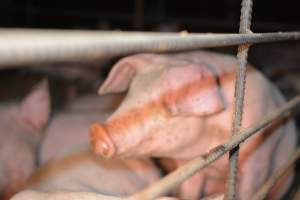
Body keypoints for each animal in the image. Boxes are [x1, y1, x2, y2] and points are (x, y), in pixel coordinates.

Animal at [89, 50, 298, 199]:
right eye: (130, 93)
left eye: (169, 108)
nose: (97, 131)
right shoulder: (189, 165)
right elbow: (190, 190)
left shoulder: (258, 157)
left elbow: (249, 190)